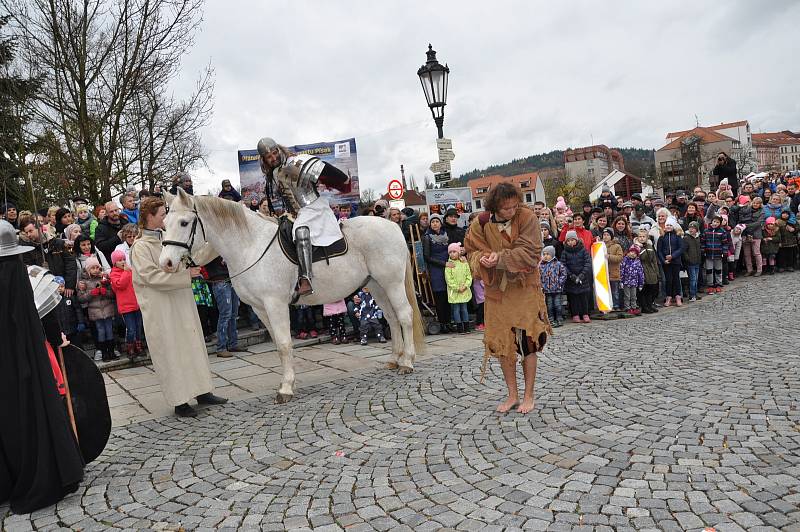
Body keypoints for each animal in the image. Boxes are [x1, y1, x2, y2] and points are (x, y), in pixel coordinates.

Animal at [155, 189, 424, 402]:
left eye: (184, 223)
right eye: (164, 223)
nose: (166, 263)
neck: (251, 246)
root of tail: (392, 226)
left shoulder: (275, 304)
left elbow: (285, 344)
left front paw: (285, 389)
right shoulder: (260, 309)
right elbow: (277, 345)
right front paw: (287, 382)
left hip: (391, 283)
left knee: (404, 315)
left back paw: (408, 362)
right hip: (376, 286)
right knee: (391, 318)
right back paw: (394, 359)